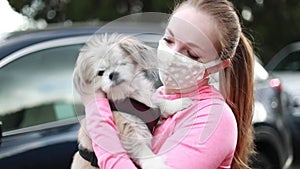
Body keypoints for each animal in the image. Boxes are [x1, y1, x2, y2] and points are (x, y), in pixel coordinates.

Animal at [71, 33, 191, 169]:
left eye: (122, 63)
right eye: (100, 73)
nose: (112, 74)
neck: (129, 94)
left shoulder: (149, 102)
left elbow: (160, 103)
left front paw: (178, 103)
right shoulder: (129, 133)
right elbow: (144, 152)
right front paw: (157, 164)